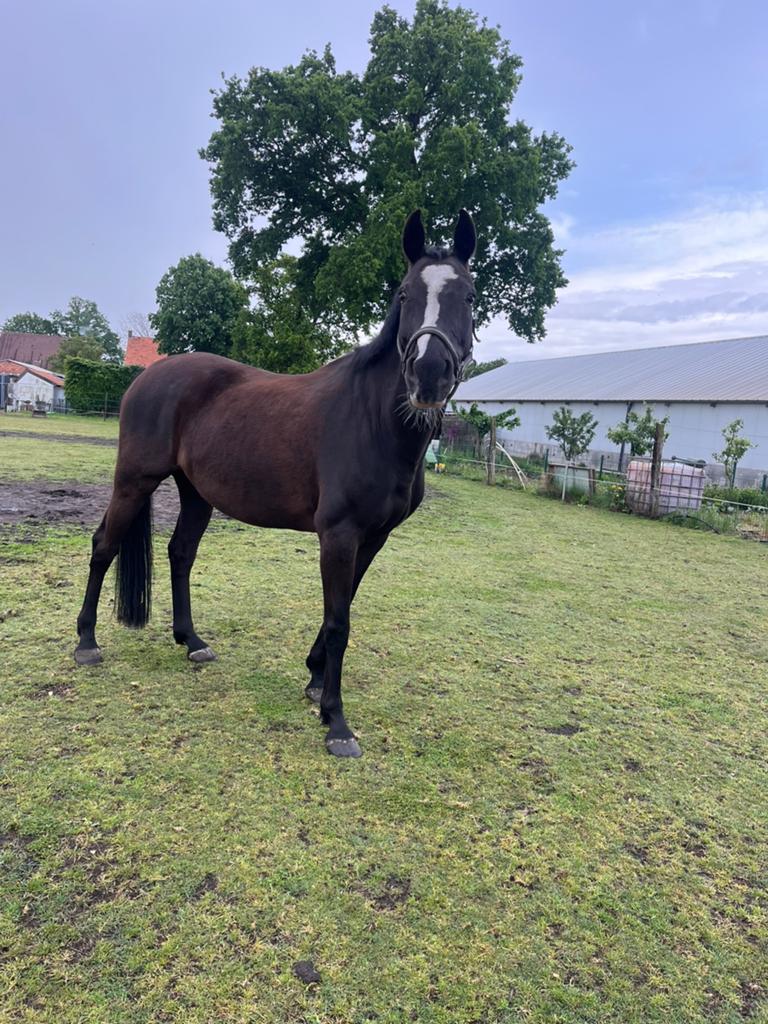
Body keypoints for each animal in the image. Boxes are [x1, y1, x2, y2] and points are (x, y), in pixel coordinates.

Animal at [74, 209, 477, 757]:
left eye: (469, 296)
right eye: (404, 295)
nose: (428, 374)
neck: (372, 421)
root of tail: (145, 377)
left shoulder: (374, 537)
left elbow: (341, 608)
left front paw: (315, 680)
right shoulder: (339, 535)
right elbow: (339, 621)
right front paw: (336, 722)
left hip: (196, 493)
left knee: (181, 554)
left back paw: (192, 641)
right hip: (134, 481)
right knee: (104, 546)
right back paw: (86, 643)